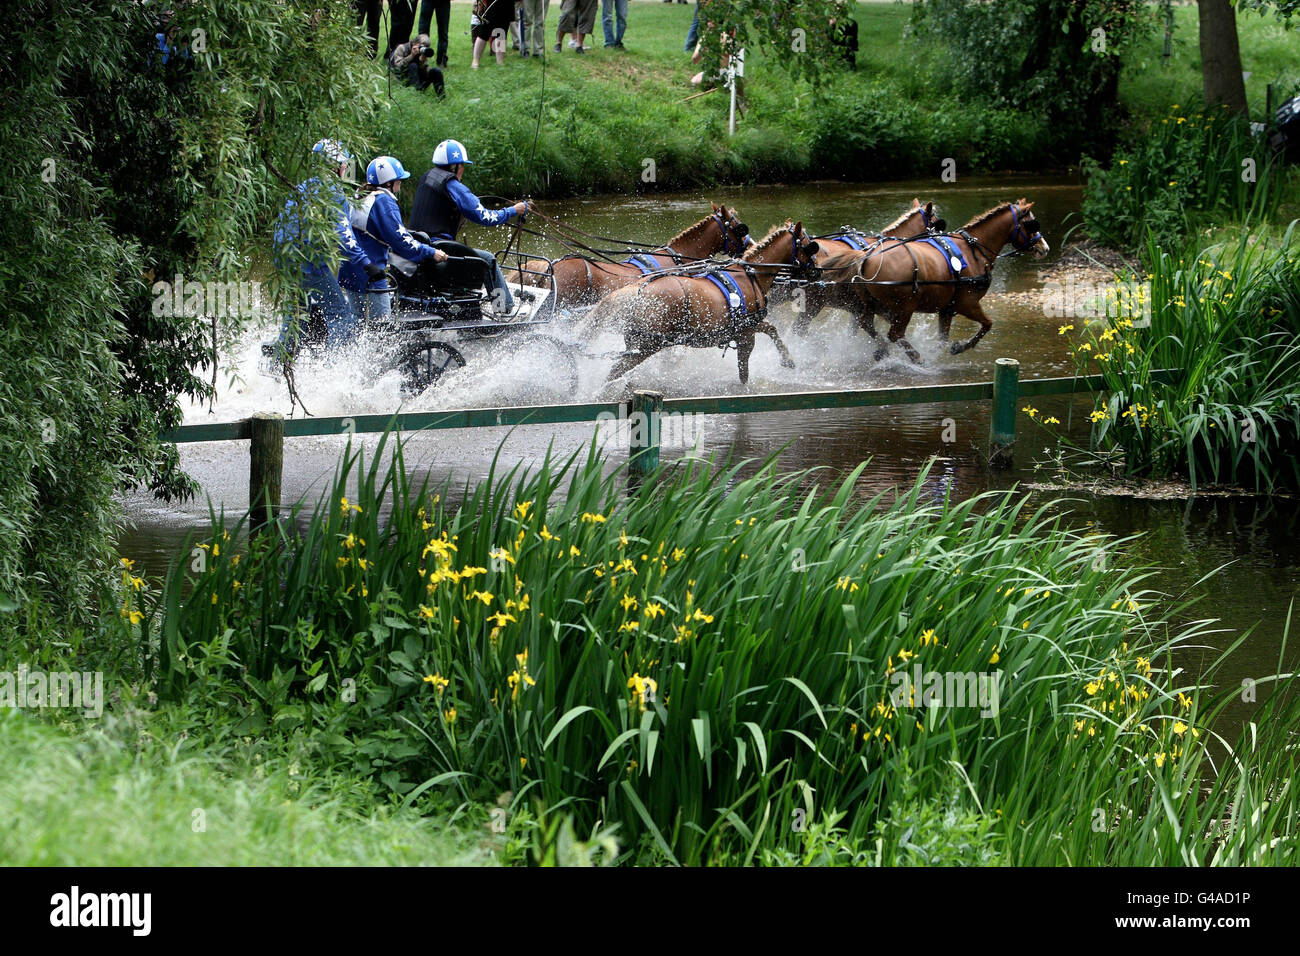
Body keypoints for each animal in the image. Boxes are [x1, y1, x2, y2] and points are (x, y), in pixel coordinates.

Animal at [585, 221, 816, 385]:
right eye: (809, 246)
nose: (816, 270)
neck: (751, 274)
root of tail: (638, 291)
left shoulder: (747, 328)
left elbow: (770, 330)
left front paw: (787, 359)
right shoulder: (746, 334)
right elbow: (745, 370)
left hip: (637, 345)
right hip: (646, 346)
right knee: (614, 372)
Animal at [826, 197, 1050, 361]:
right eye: (1032, 224)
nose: (1044, 247)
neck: (973, 250)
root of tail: (866, 255)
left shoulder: (947, 308)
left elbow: (943, 338)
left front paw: (942, 349)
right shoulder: (967, 303)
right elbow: (987, 324)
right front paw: (959, 347)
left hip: (872, 304)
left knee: (867, 325)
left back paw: (884, 350)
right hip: (905, 307)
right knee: (894, 334)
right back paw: (914, 356)